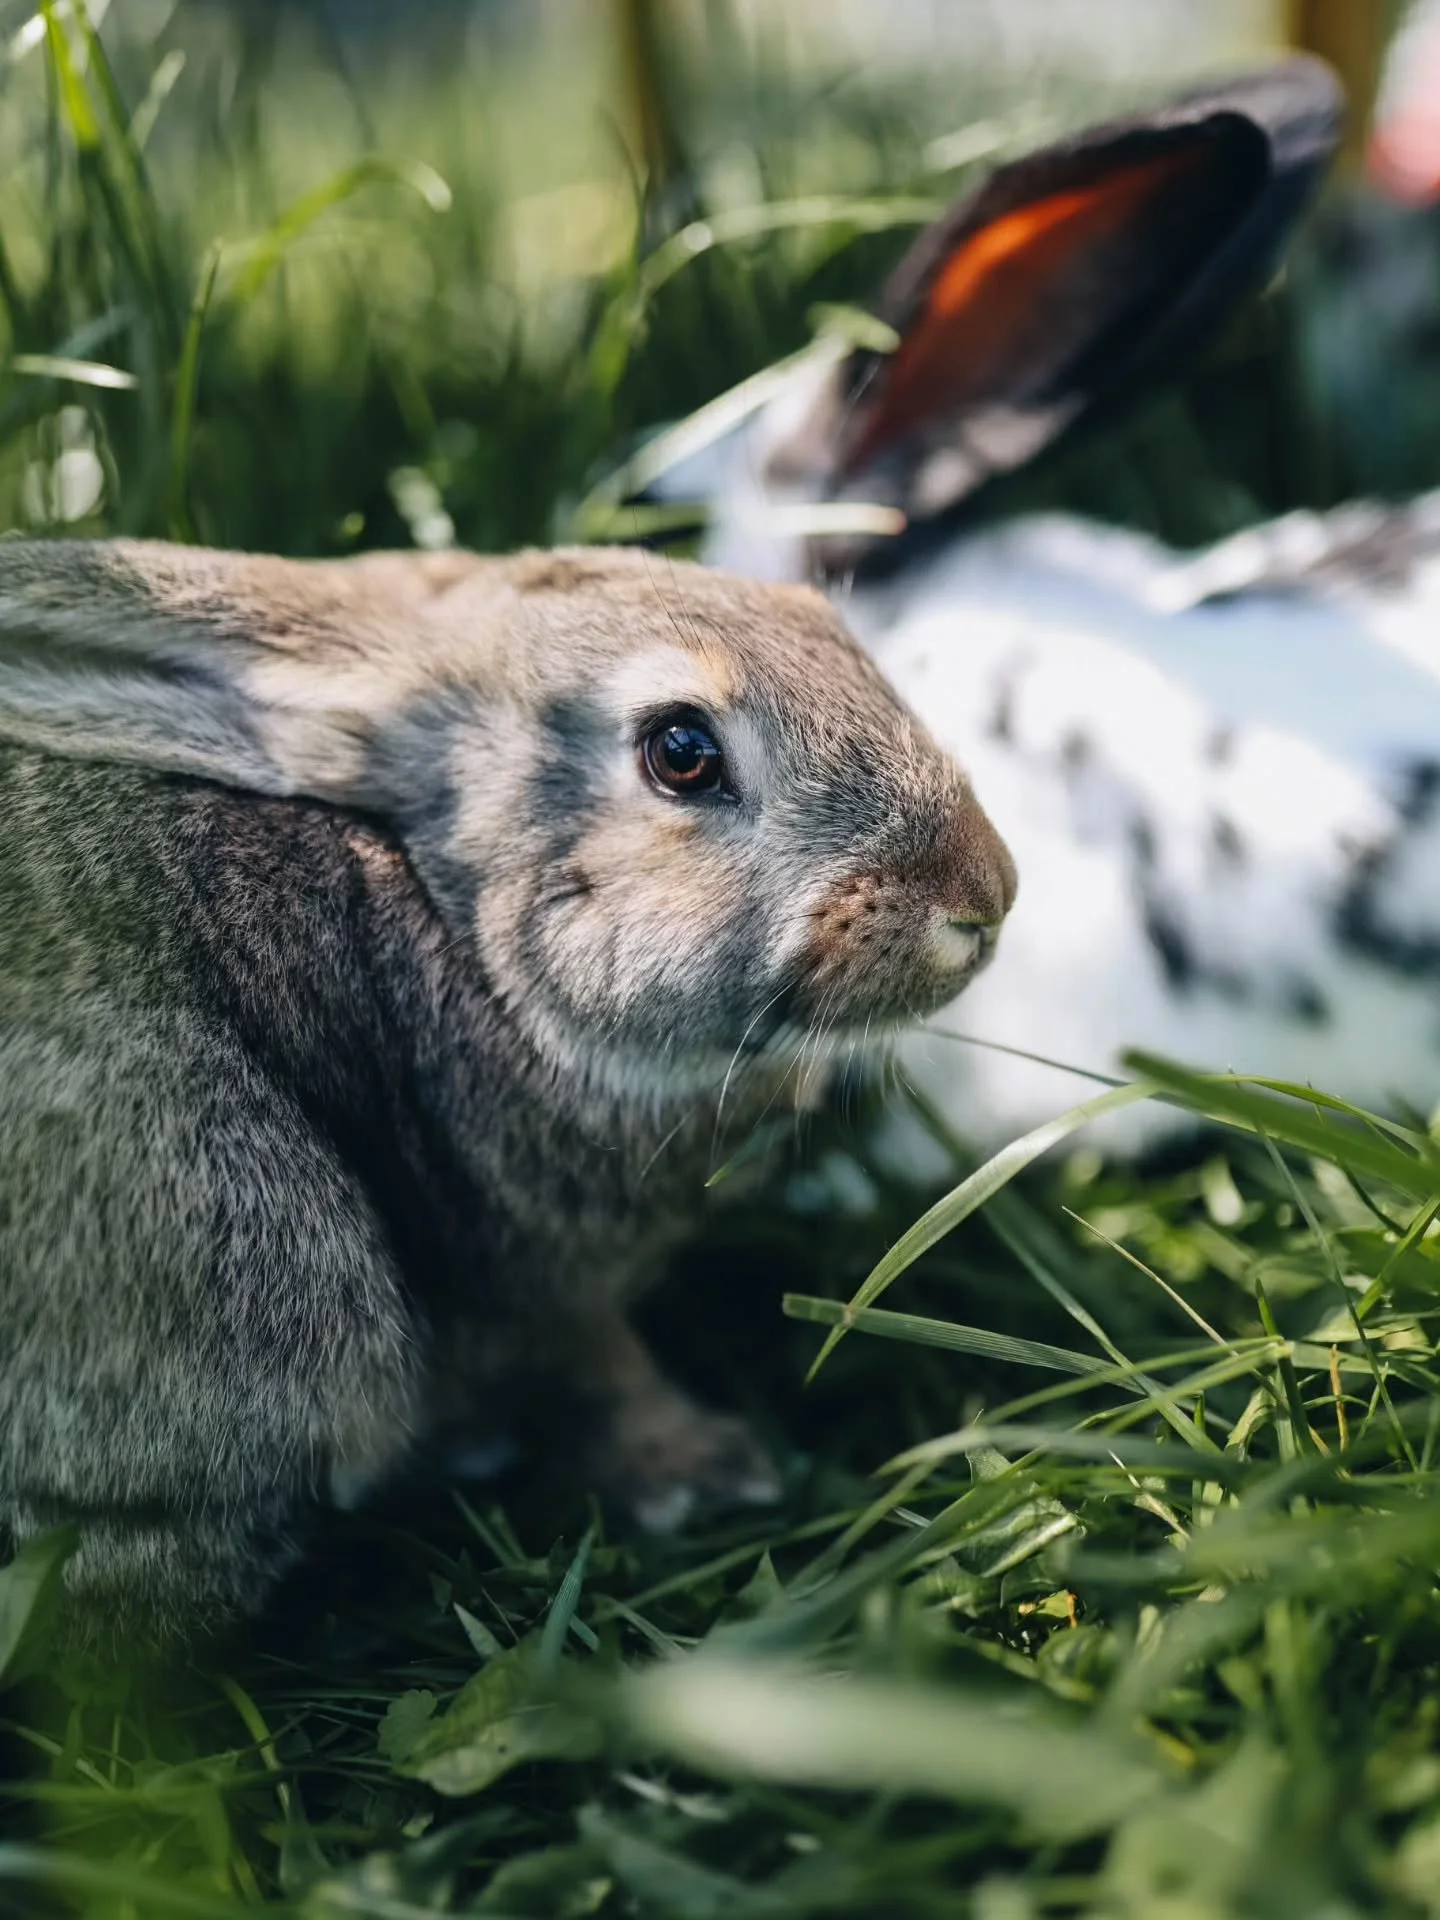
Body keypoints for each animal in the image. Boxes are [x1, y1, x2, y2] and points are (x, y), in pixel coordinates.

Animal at [0, 538, 1015, 1641]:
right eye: (681, 751)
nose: (986, 895)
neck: (461, 936)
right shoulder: (538, 1292)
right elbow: (597, 1376)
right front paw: (705, 1472)